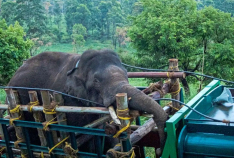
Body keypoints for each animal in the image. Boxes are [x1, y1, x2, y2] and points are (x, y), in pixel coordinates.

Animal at [7, 50, 168, 154]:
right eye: (96, 81)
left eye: (126, 74)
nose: (160, 150)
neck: (77, 67)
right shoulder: (69, 100)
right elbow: (83, 138)